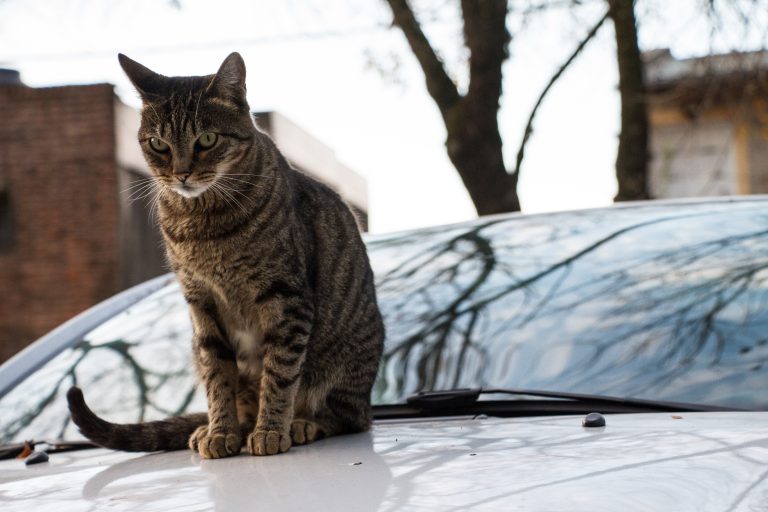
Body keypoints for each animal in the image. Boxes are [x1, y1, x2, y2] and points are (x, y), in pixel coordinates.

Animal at [67, 52, 384, 458]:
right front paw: (220, 432)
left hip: (345, 366)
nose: (182, 173)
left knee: (348, 417)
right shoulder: (201, 304)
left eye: (206, 139)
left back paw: (301, 424)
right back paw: (216, 427)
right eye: (157, 144)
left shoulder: (285, 299)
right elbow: (218, 376)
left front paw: (270, 430)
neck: (203, 226)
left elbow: (279, 374)